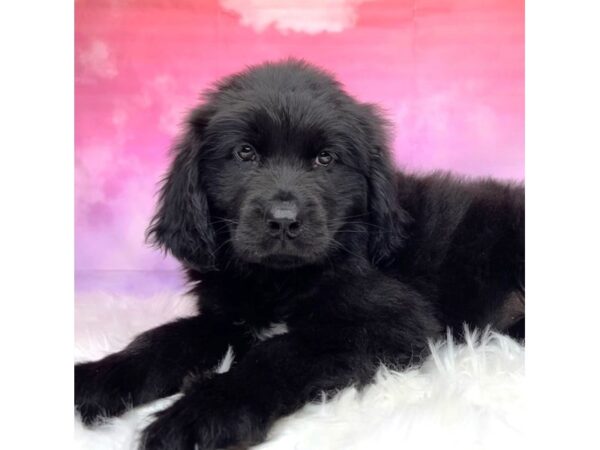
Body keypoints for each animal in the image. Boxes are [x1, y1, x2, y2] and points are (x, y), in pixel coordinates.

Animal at [75, 59, 524, 450]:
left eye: (325, 158)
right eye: (245, 153)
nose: (283, 221)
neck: (278, 281)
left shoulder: (391, 322)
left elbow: (279, 353)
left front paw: (201, 414)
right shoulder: (229, 317)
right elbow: (162, 339)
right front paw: (95, 380)